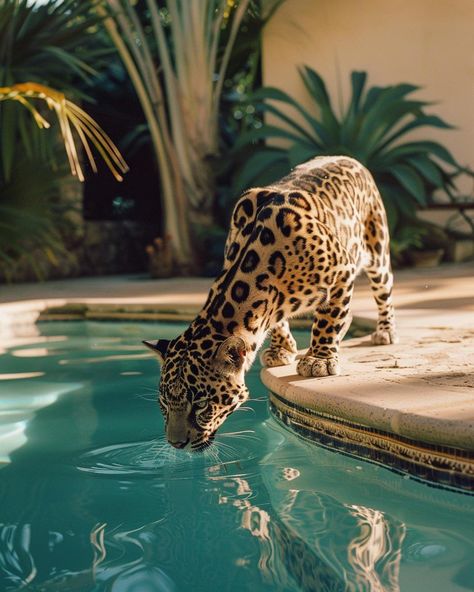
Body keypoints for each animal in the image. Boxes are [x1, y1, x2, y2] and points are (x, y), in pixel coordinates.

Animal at [144, 155, 396, 450]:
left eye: (201, 404)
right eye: (164, 403)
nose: (176, 444)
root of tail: (347, 158)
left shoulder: (342, 269)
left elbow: (326, 320)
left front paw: (319, 359)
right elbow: (278, 321)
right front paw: (282, 350)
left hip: (376, 251)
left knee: (383, 290)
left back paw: (385, 331)